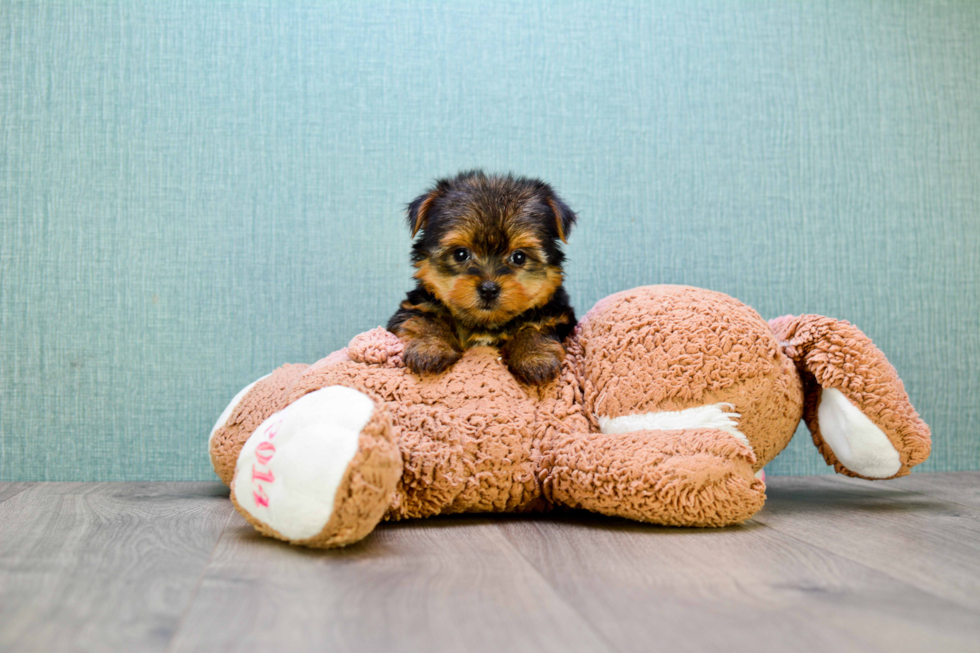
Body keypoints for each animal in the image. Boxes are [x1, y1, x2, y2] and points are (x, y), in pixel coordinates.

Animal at [388, 171, 580, 384]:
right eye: (461, 254)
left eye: (519, 257)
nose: (488, 289)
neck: (485, 324)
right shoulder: (416, 305)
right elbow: (425, 319)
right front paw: (430, 349)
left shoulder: (556, 315)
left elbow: (535, 327)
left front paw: (535, 357)